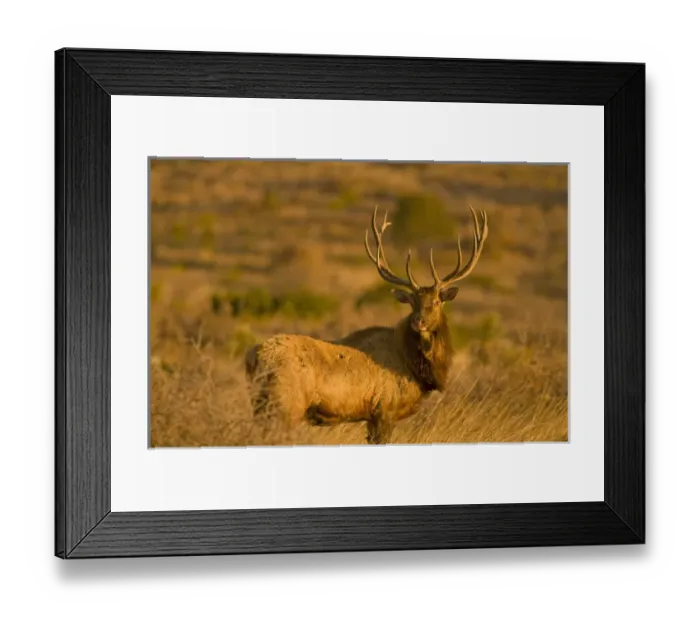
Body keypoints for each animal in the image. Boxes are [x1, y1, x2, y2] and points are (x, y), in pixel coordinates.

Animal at [245, 205, 489, 444]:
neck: (413, 365)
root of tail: (254, 356)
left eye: (437, 301)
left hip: (261, 404)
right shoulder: (385, 409)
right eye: (412, 302)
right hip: (286, 404)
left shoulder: (372, 416)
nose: (418, 321)